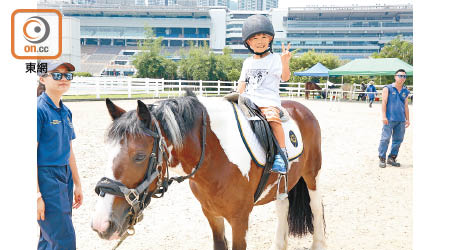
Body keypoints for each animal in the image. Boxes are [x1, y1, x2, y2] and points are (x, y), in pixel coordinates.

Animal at [91, 93, 326, 249]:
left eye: (139, 156)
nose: (101, 224)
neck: (214, 156)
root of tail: (300, 106)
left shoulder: (240, 219)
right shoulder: (211, 213)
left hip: (312, 174)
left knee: (315, 207)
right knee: (282, 206)